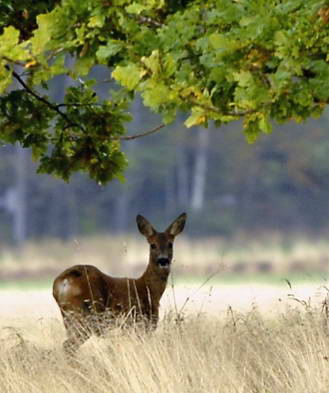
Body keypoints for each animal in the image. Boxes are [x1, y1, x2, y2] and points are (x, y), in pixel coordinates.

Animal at [52, 213, 186, 354]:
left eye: (170, 244)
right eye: (153, 245)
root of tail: (63, 281)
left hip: (68, 318)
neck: (148, 289)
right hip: (86, 315)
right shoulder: (141, 324)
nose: (163, 260)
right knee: (69, 345)